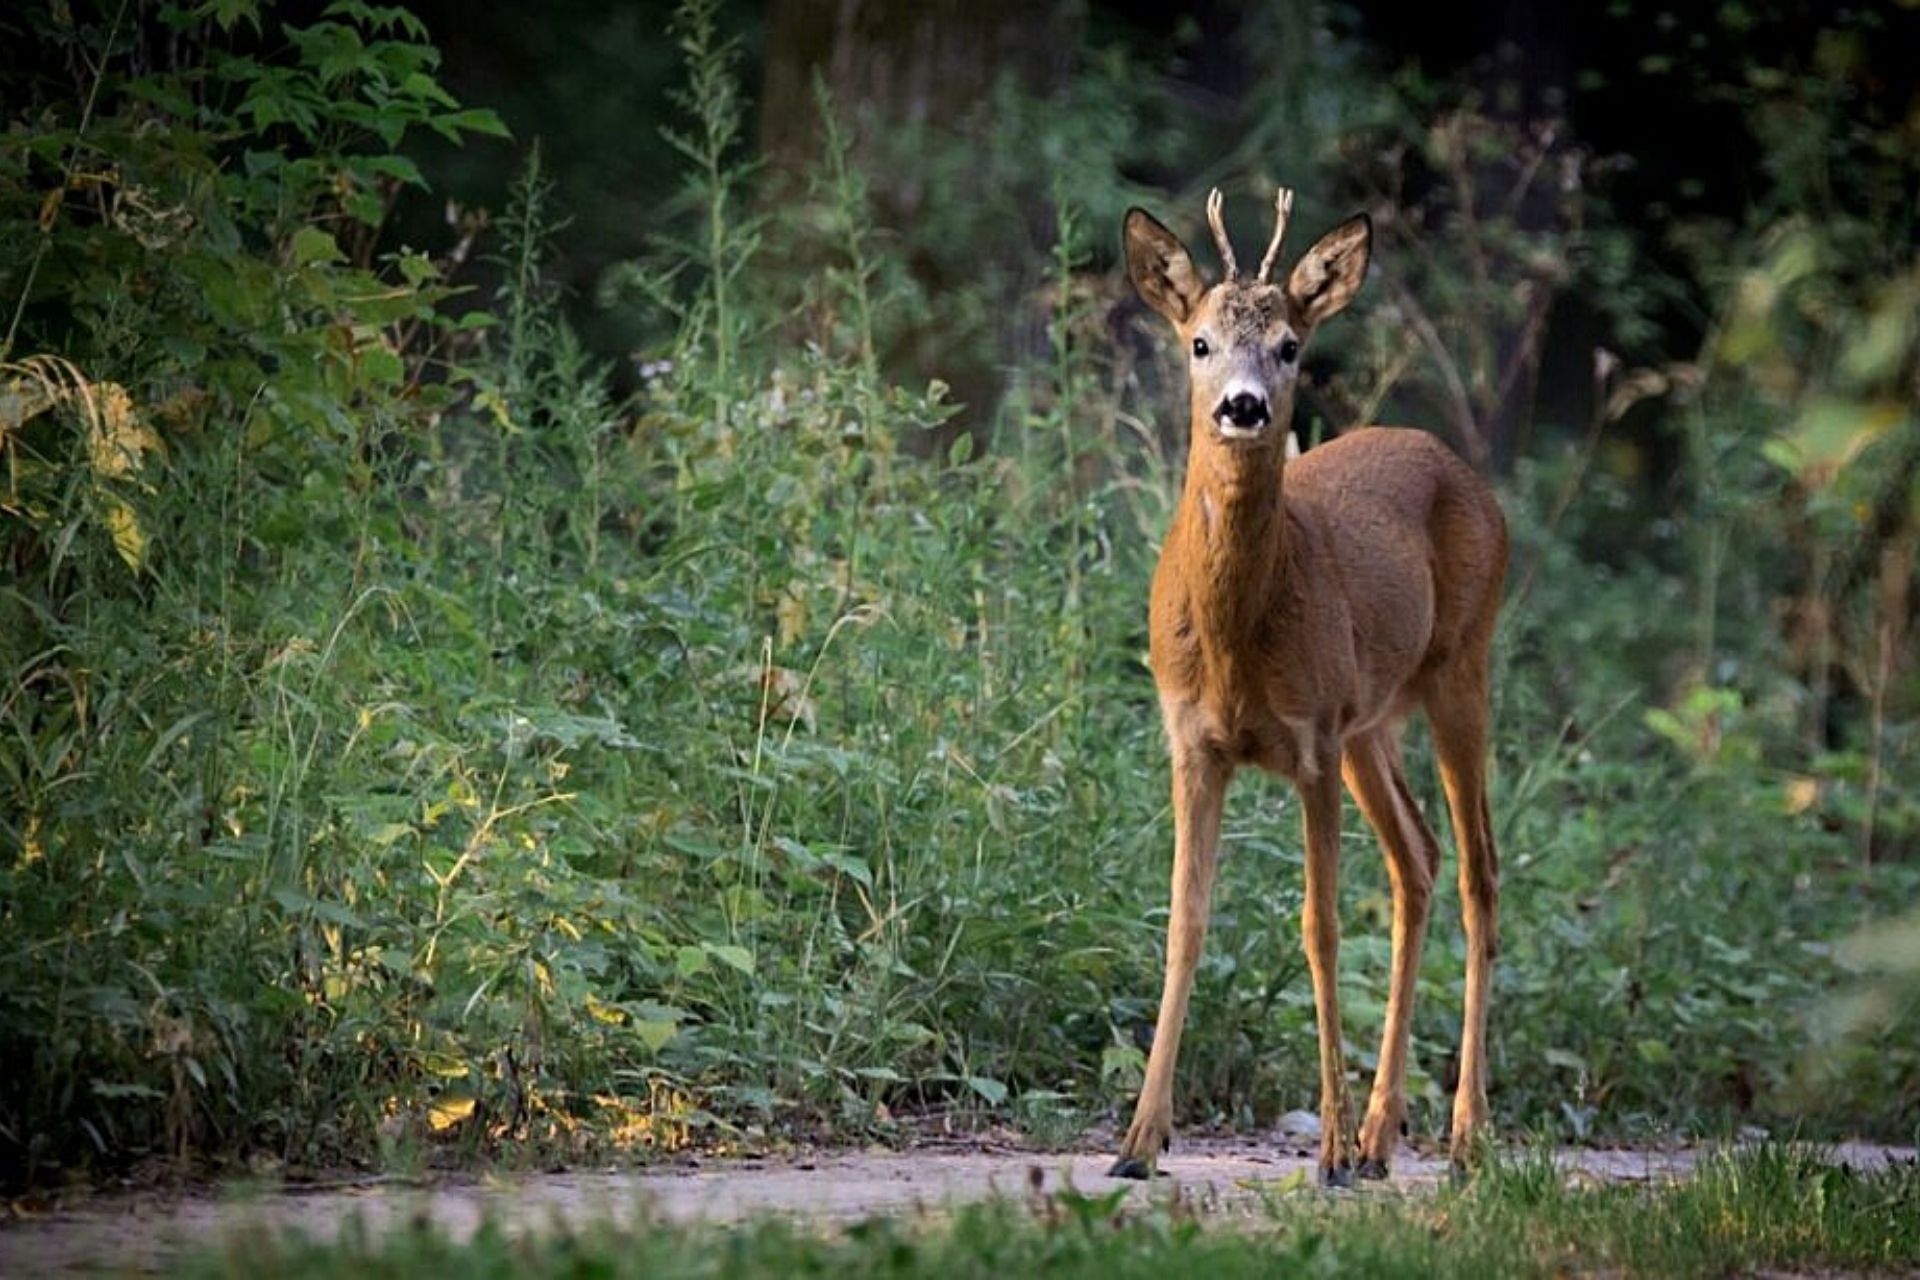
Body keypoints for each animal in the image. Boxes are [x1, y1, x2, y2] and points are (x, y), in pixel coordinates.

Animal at [1113, 185, 1512, 1189]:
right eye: (1199, 343)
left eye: (1290, 345)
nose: (1245, 407)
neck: (1236, 643)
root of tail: (1461, 467)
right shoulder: (1192, 741)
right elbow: (1184, 922)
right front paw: (1138, 1140)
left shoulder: (1312, 738)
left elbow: (1321, 928)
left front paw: (1324, 1149)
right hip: (1375, 721)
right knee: (1419, 859)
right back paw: (1380, 1135)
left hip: (1460, 667)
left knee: (1479, 871)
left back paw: (1461, 1134)